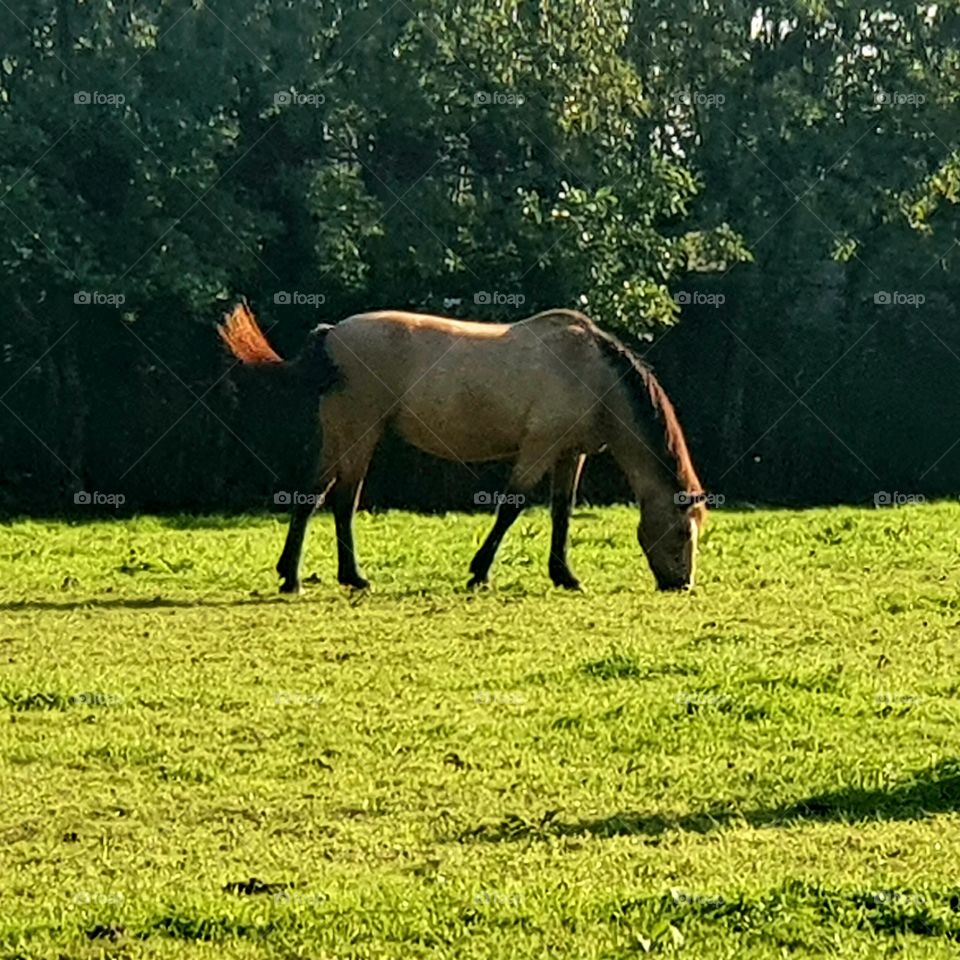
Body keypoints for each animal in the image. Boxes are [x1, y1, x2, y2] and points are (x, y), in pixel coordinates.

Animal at [217, 302, 707, 593]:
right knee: (342, 500)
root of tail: (332, 333)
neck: (593, 373)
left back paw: (293, 575)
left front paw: (564, 575)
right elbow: (511, 507)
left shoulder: (570, 454)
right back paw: (349, 577)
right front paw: (479, 572)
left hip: (341, 433)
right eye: (684, 533)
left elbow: (561, 513)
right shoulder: (538, 447)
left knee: (312, 496)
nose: (681, 585)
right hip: (359, 431)